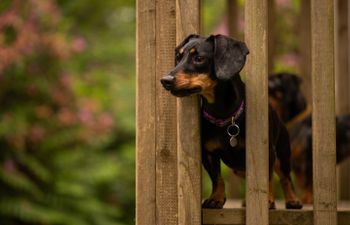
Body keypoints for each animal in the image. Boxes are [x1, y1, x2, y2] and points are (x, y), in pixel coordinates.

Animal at [160, 34, 302, 209]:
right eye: (178, 57)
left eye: (199, 58)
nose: (165, 80)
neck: (223, 115)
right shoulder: (208, 154)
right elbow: (217, 178)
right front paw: (216, 198)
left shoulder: (266, 152)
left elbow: (266, 178)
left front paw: (267, 200)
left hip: (283, 154)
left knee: (285, 177)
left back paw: (292, 200)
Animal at [270, 72, 350, 204]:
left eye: (270, 85)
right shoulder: (297, 164)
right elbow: (301, 182)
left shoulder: (307, 161)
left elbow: (309, 182)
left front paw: (308, 198)